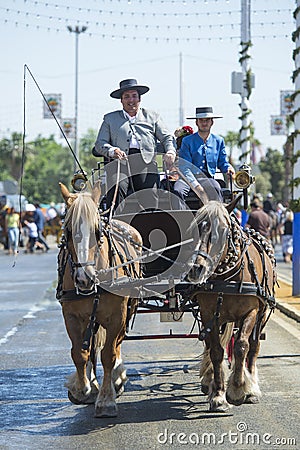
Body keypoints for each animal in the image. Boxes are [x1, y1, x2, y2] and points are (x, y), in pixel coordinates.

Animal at [57, 180, 144, 418]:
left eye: (97, 231)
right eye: (68, 231)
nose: (84, 278)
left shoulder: (117, 315)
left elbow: (108, 355)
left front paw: (106, 399)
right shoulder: (71, 316)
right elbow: (80, 353)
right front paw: (84, 388)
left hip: (128, 309)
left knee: (117, 343)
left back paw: (117, 378)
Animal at [188, 200, 276, 412]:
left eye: (222, 230)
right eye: (195, 228)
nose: (196, 269)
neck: (225, 278)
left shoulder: (251, 311)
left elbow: (242, 346)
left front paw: (237, 389)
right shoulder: (208, 314)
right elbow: (216, 351)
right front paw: (218, 395)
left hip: (261, 315)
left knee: (253, 346)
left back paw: (251, 387)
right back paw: (210, 380)